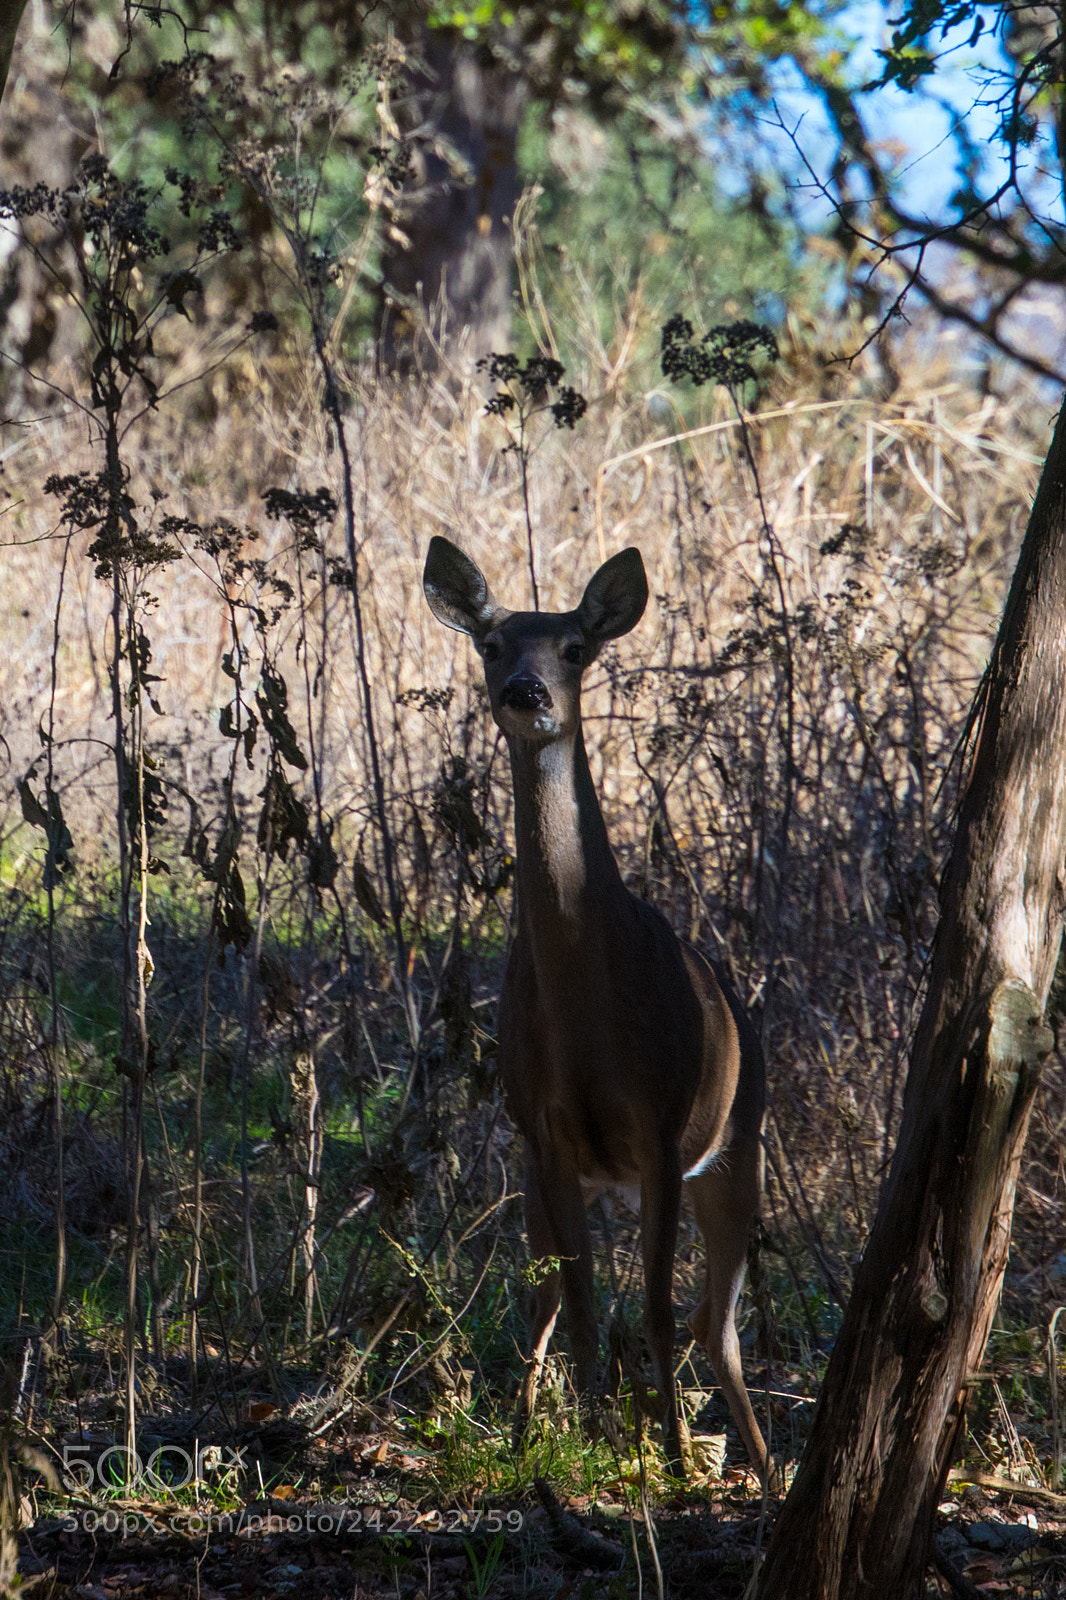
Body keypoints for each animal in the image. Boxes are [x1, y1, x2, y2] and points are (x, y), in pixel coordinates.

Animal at [422, 535, 770, 1483]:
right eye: (490, 644)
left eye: (575, 648)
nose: (526, 691)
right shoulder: (544, 1130)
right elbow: (578, 1302)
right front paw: (587, 1440)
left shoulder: (662, 1127)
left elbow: (652, 1307)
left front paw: (670, 1459)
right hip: (558, 1175)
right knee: (551, 1297)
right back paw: (527, 1433)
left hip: (741, 1144)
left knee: (714, 1321)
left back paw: (756, 1470)